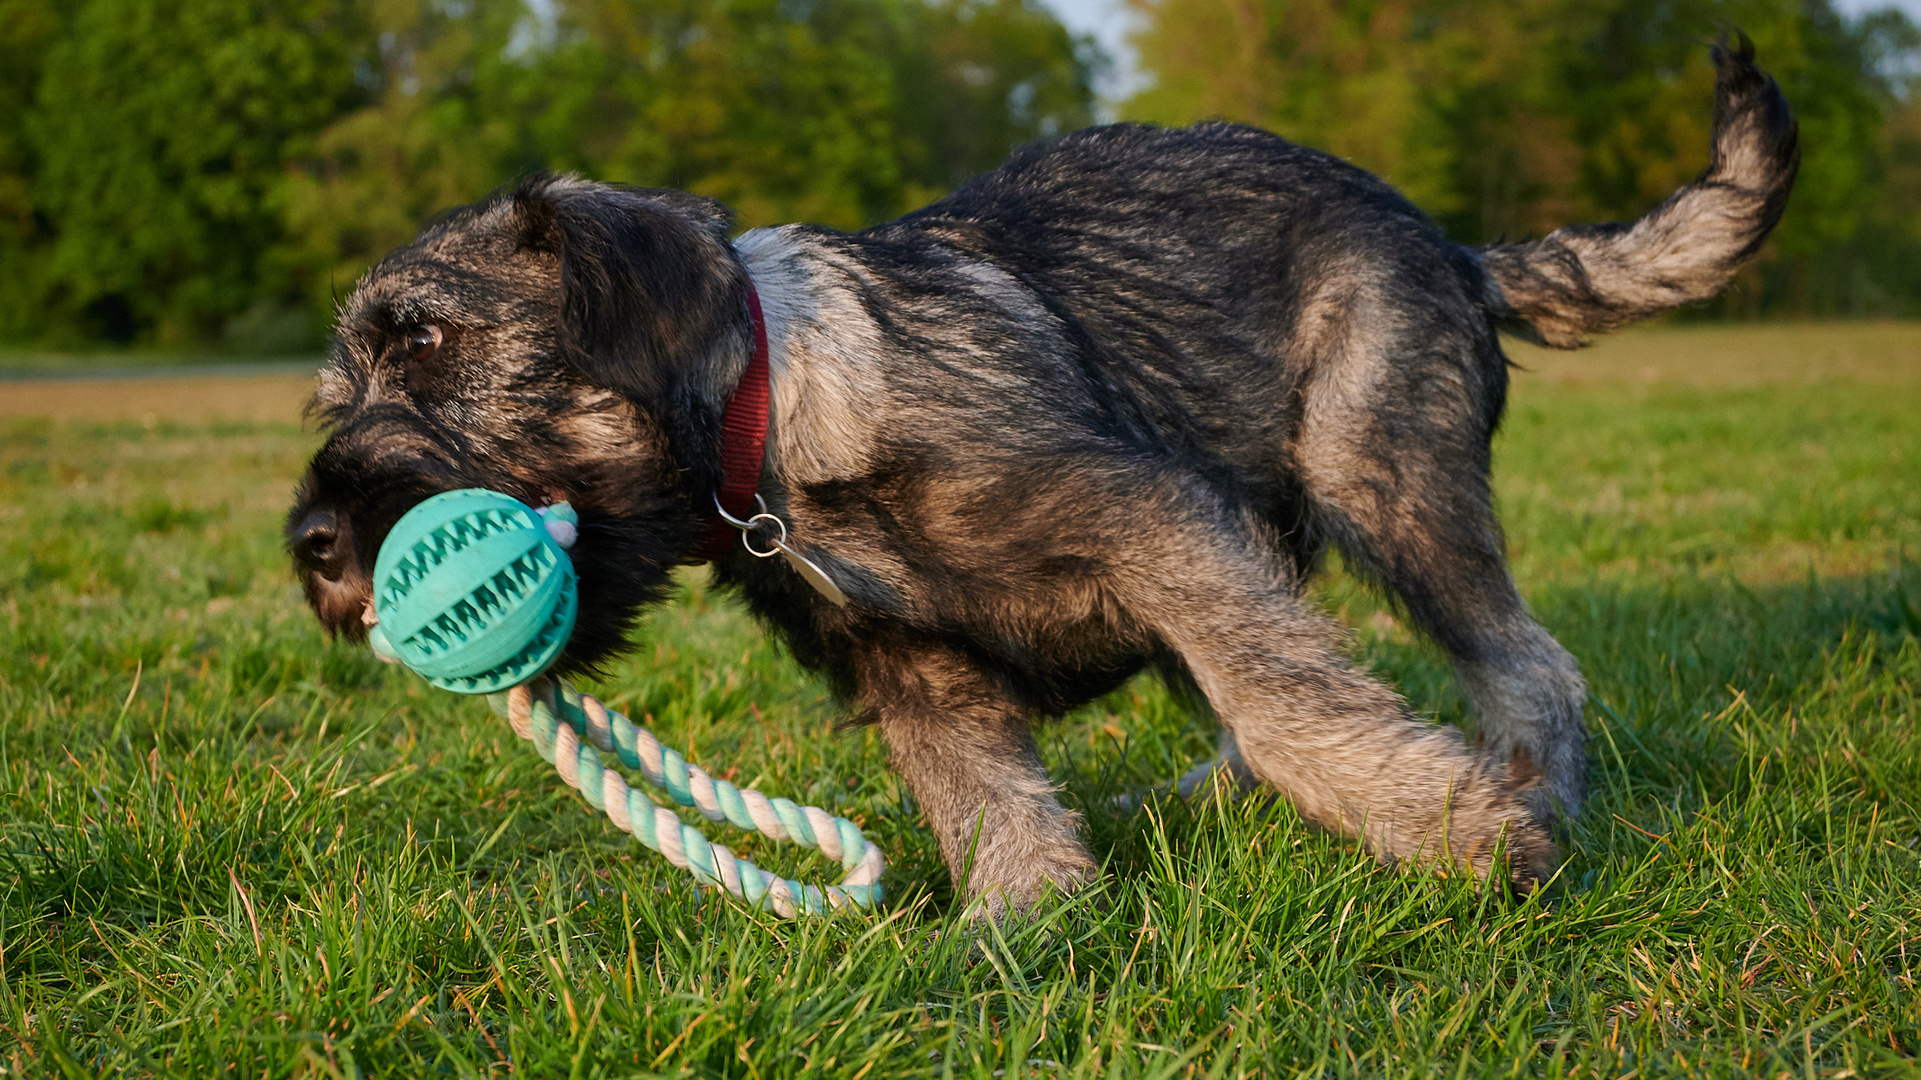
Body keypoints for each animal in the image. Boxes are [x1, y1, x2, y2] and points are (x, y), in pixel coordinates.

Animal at [288, 37, 1798, 910]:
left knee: (1517, 666)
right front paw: (1025, 931)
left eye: (427, 345)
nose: (311, 546)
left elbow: (1291, 700)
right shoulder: (918, 669)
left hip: (1382, 478)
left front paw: (1452, 834)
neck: (771, 431)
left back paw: (1537, 806)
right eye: (339, 391)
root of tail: (1451, 243)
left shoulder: (1152, 525)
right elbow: (983, 798)